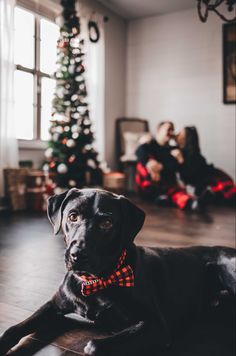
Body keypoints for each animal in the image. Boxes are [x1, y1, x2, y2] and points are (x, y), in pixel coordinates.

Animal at [0, 188, 235, 354]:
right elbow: (13, 329)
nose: (77, 255)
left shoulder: (157, 326)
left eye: (107, 222)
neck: (94, 282)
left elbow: (94, 345)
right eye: (73, 217)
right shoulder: (54, 305)